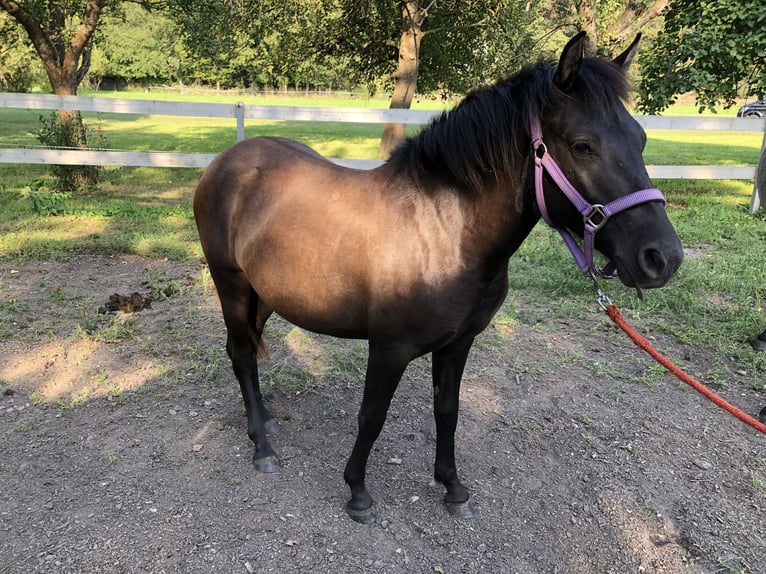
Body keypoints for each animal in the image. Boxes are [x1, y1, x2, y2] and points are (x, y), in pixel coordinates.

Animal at [195, 32, 688, 528]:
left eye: (642, 138)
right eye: (583, 145)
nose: (663, 258)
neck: (444, 231)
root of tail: (227, 160)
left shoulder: (458, 344)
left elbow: (447, 411)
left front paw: (452, 486)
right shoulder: (389, 348)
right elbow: (371, 416)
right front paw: (357, 492)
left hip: (264, 293)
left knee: (246, 349)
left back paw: (262, 418)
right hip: (231, 283)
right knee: (242, 354)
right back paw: (262, 447)